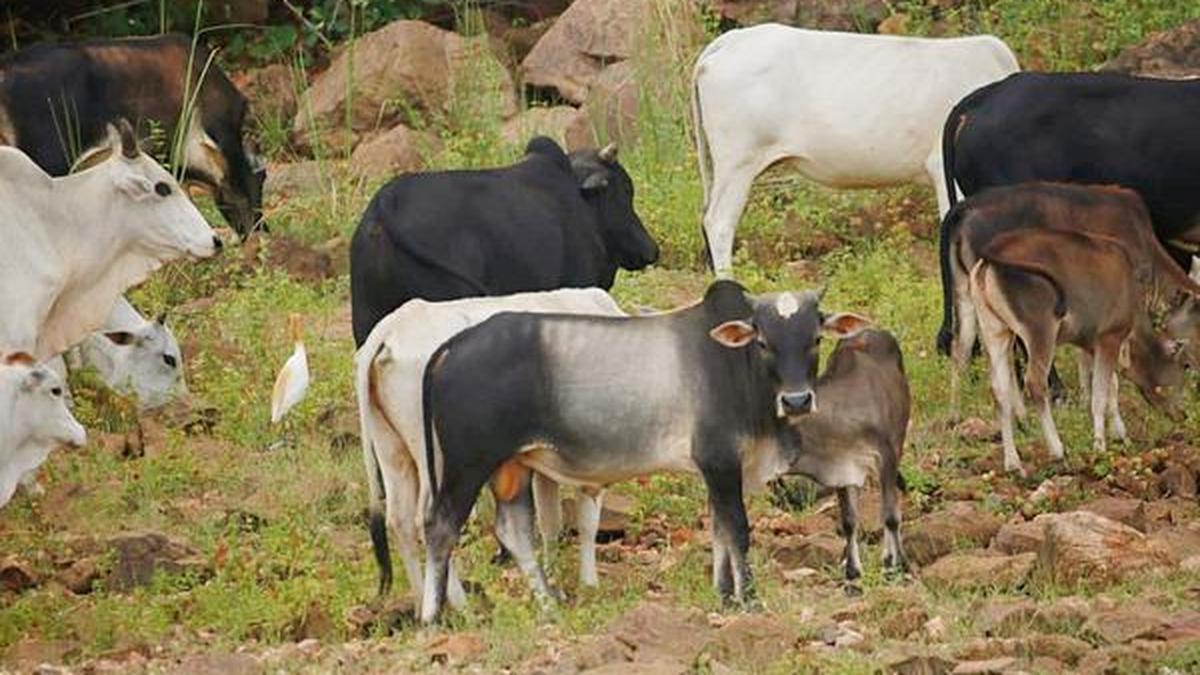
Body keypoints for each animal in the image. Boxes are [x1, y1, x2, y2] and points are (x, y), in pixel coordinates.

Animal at [355, 288, 626, 614]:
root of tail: (396, 325)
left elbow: (551, 521)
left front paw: (556, 584)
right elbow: (587, 522)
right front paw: (588, 585)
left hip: (392, 449)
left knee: (400, 521)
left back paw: (423, 602)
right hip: (435, 459)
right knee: (430, 520)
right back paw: (459, 605)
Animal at [417, 281, 904, 623]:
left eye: (815, 339)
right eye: (763, 341)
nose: (798, 400)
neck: (737, 368)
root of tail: (451, 347)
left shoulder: (715, 469)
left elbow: (719, 530)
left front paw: (724, 595)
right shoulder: (721, 460)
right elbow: (738, 530)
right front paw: (749, 598)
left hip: (511, 466)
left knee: (514, 530)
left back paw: (548, 604)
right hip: (467, 465)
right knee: (440, 527)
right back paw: (432, 616)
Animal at [957, 197, 1189, 474]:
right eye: (1185, 365)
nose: (1184, 415)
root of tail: (991, 255)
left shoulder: (1093, 343)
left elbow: (1111, 387)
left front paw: (1120, 434)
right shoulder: (1110, 335)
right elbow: (1099, 393)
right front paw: (1100, 445)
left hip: (995, 330)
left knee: (999, 390)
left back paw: (1013, 462)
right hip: (1040, 331)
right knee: (1035, 383)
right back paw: (1057, 449)